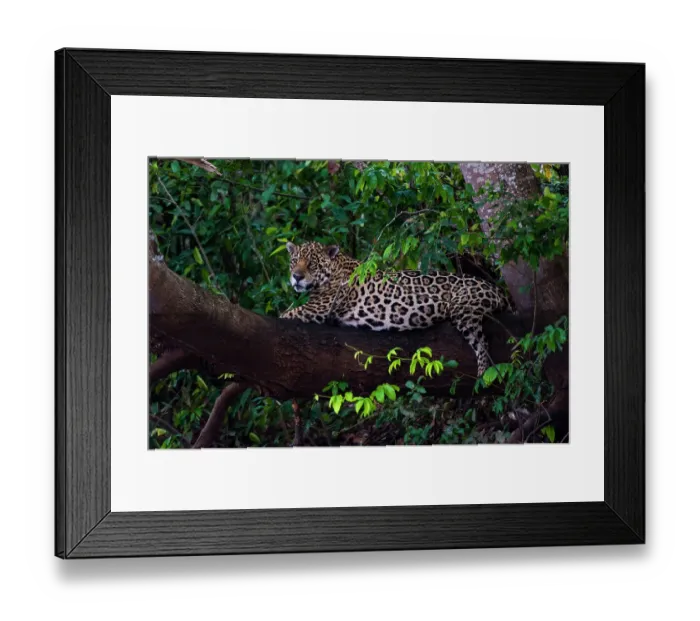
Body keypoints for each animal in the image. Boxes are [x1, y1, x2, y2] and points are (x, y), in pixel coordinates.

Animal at [280, 241, 513, 375]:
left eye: (312, 264)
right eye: (294, 261)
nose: (296, 277)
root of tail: (496, 288)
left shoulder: (317, 309)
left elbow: (285, 314)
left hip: (463, 311)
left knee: (482, 342)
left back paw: (482, 375)